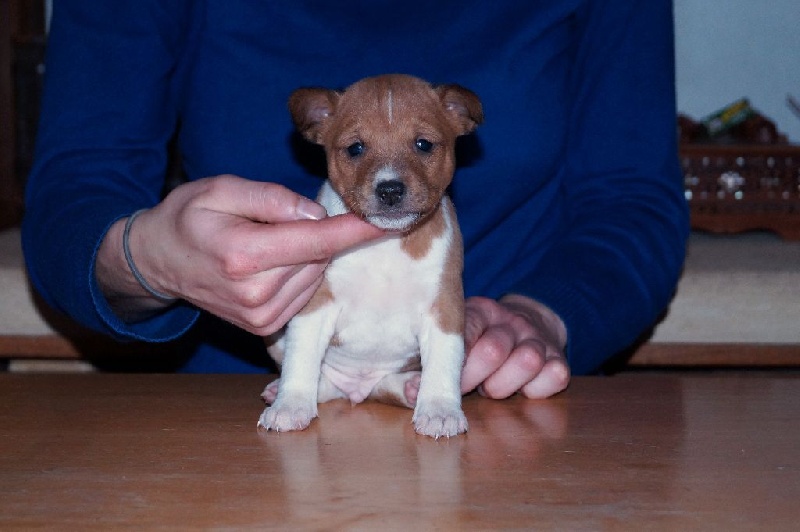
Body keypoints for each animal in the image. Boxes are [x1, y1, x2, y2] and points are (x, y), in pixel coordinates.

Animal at [257, 74, 483, 438]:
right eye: (356, 148)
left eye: (423, 144)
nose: (389, 189)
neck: (385, 244)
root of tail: (357, 389)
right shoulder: (315, 305)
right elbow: (301, 359)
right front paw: (290, 405)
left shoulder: (444, 309)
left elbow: (444, 362)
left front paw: (439, 408)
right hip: (276, 338)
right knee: (325, 384)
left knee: (387, 387)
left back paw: (411, 388)